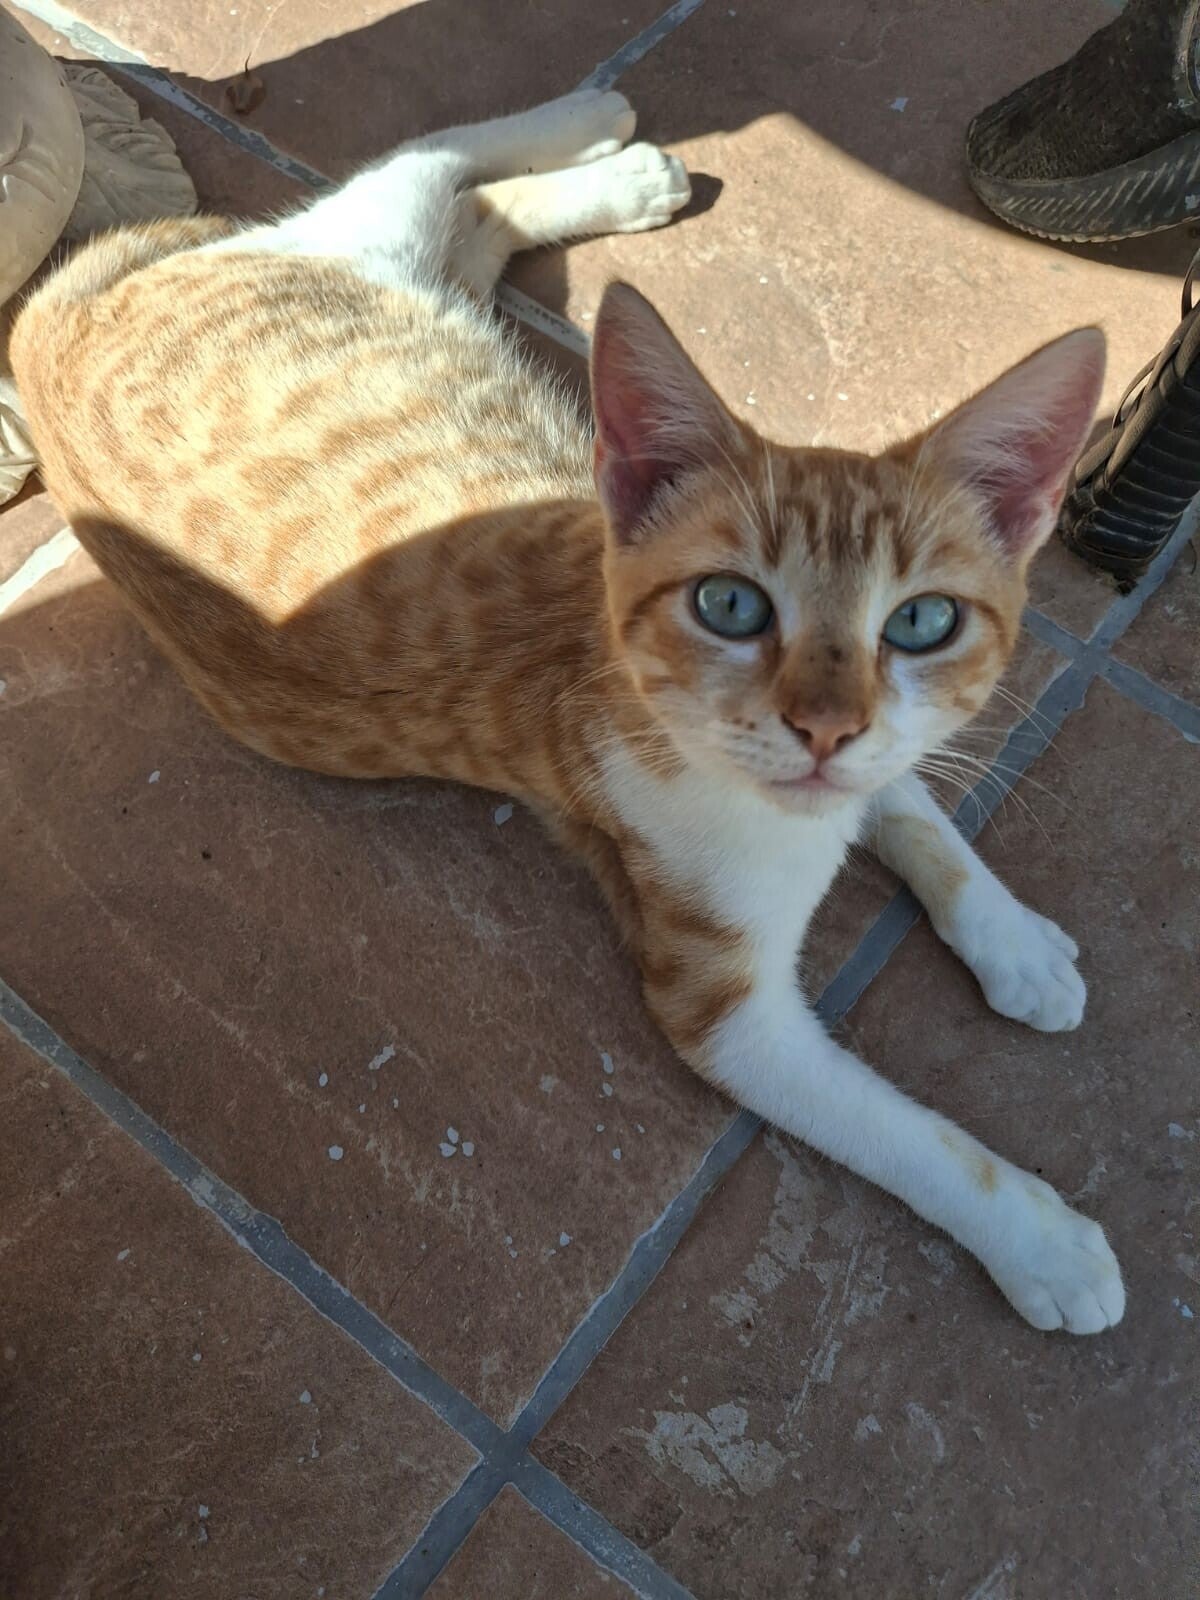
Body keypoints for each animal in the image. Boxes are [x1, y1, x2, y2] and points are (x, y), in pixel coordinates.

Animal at [9, 87, 1123, 1335]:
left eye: (922, 622)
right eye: (731, 604)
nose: (825, 728)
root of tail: (43, 342)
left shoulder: (867, 759)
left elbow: (915, 805)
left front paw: (1010, 937)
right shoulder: (721, 1009)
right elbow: (911, 1134)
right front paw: (1041, 1239)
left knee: (469, 216)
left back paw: (616, 176)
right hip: (346, 249)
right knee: (415, 165)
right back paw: (595, 127)